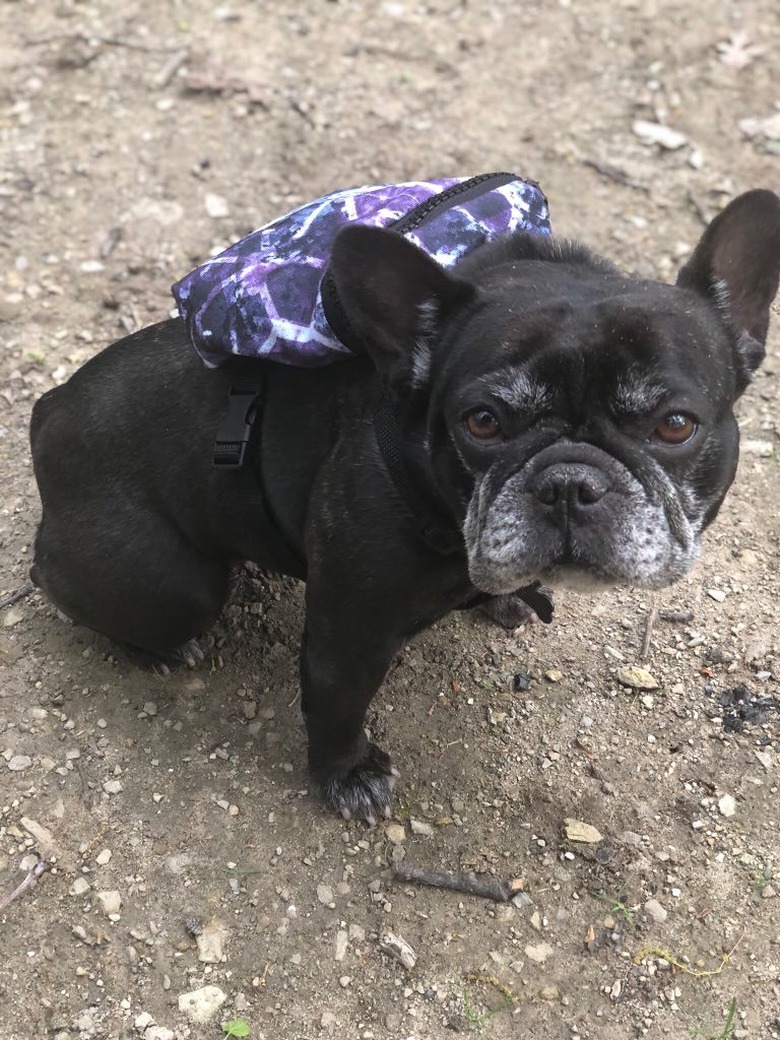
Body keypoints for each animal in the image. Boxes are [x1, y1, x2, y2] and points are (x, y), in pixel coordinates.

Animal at [28, 185, 780, 819]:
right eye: (482, 421)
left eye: (675, 425)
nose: (570, 482)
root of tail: (48, 408)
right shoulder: (348, 634)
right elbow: (337, 707)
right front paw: (348, 775)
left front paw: (507, 597)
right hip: (174, 585)